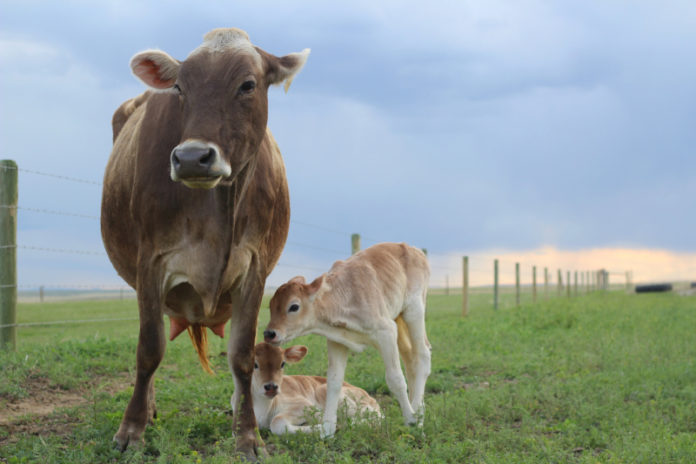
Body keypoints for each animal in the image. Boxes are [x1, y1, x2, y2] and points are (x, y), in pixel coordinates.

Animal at [101, 28, 309, 460]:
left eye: (247, 84)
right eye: (180, 87)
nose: (192, 157)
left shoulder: (255, 268)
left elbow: (243, 356)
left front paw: (248, 436)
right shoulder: (151, 263)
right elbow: (149, 349)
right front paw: (131, 430)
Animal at [241, 342, 381, 435]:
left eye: (282, 363)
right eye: (255, 364)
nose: (271, 387)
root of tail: (371, 397)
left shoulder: (303, 404)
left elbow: (276, 422)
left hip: (327, 391)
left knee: (376, 417)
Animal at [263, 242, 431, 438]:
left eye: (294, 306)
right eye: (270, 306)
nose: (269, 333)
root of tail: (413, 249)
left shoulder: (386, 332)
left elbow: (395, 378)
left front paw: (411, 421)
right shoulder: (337, 341)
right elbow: (334, 382)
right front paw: (327, 429)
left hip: (414, 309)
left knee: (422, 355)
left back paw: (417, 415)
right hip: (399, 318)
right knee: (410, 358)